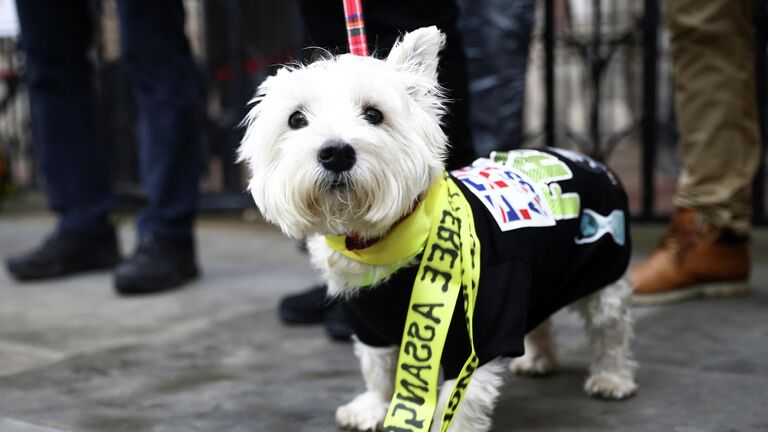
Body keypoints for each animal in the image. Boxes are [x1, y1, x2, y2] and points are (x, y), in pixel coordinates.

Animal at [240, 26, 636, 432]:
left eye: (373, 114)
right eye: (296, 119)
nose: (336, 153)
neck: (385, 240)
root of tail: (586, 158)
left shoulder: (478, 331)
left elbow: (459, 402)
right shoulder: (369, 323)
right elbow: (377, 368)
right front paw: (371, 408)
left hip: (602, 268)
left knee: (612, 327)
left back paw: (612, 379)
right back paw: (538, 360)